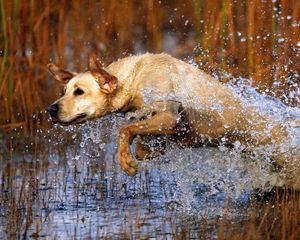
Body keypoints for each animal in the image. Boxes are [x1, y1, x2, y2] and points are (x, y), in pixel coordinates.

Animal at [47, 53, 300, 188]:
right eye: (65, 90)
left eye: (79, 91)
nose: (50, 109)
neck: (134, 78)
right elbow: (141, 140)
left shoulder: (169, 114)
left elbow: (125, 130)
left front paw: (125, 160)